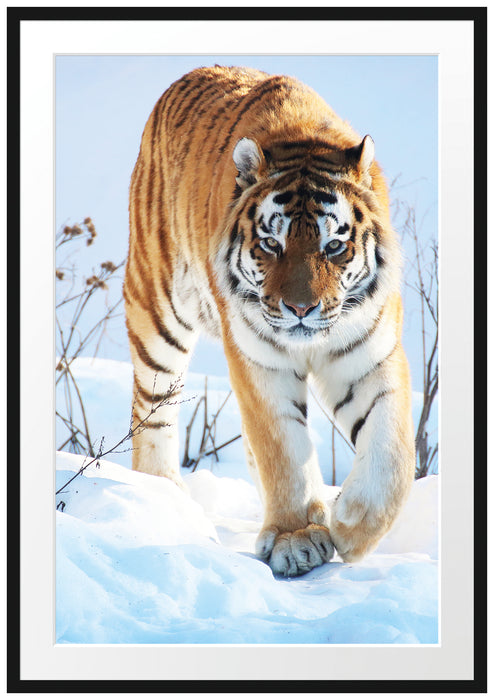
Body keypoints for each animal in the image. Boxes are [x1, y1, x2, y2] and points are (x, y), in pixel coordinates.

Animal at [124, 65, 416, 577]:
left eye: (333, 247)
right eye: (271, 245)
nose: (300, 309)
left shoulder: (369, 356)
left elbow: (392, 451)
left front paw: (350, 526)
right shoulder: (259, 360)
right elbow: (282, 447)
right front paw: (296, 538)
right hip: (156, 311)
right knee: (153, 409)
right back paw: (163, 496)